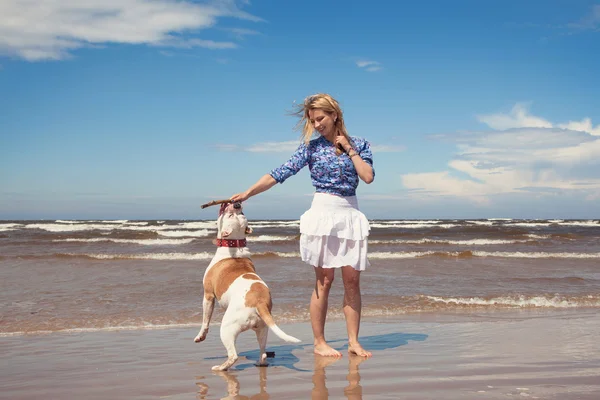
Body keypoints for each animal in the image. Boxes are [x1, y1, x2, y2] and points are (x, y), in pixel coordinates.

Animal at [196, 202, 302, 370]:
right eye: (240, 213)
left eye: (230, 215)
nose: (236, 204)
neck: (235, 246)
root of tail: (259, 302)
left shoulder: (208, 295)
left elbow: (205, 320)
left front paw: (200, 336)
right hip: (263, 329)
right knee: (263, 352)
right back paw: (260, 362)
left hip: (227, 328)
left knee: (233, 355)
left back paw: (220, 368)